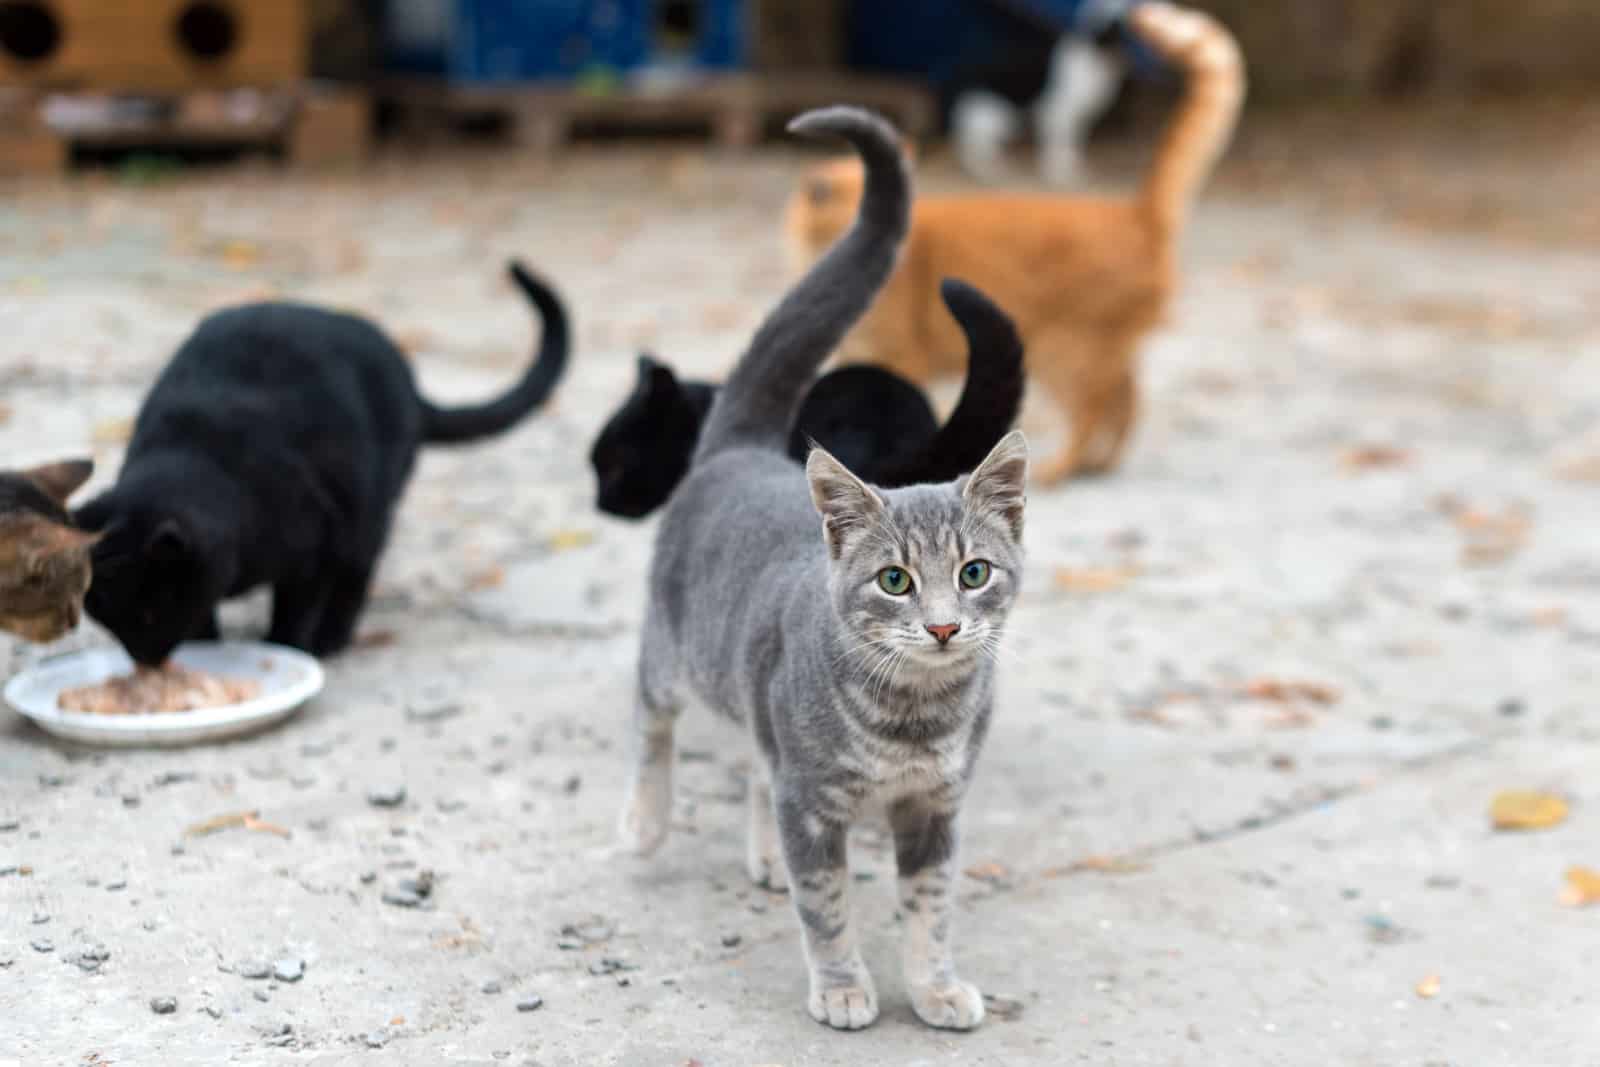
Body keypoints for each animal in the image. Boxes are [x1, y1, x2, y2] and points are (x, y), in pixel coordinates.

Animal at [81, 262, 572, 662]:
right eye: (106, 619)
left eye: (149, 614)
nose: (144, 659)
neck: (196, 454)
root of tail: (411, 387)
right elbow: (206, 610)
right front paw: (207, 647)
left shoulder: (312, 547)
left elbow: (294, 609)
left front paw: (286, 647)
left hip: (366, 515)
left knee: (356, 575)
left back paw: (331, 640)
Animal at [780, 0, 1241, 483]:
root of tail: (1136, 212)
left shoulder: (904, 360)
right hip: (1092, 351)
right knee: (1127, 400)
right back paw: (1100, 463)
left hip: (1065, 350)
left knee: (1095, 409)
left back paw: (1062, 468)